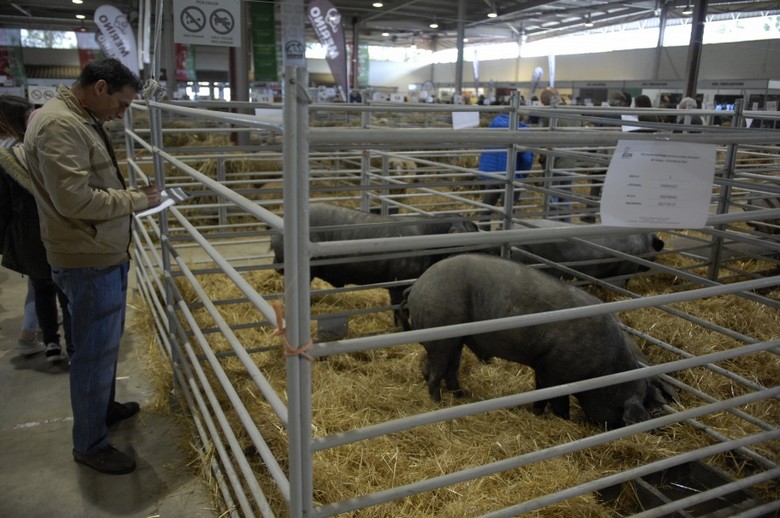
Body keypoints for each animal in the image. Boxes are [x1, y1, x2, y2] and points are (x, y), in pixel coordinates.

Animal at [404, 253, 674, 429]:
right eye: (621, 412)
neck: (603, 369)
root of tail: (418, 284)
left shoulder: (544, 368)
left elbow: (540, 394)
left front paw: (538, 414)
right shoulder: (556, 372)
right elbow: (558, 401)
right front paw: (566, 421)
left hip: (456, 340)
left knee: (447, 368)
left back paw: (462, 396)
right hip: (442, 334)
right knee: (433, 371)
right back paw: (438, 404)